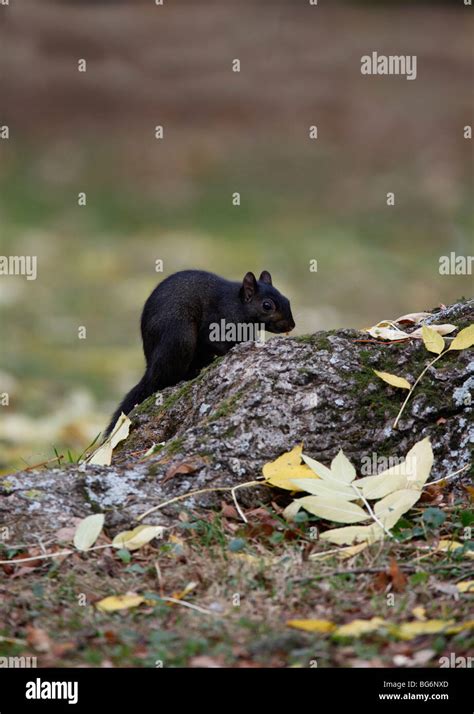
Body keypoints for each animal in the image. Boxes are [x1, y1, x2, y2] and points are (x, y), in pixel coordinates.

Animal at [105, 268, 294, 432]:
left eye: (287, 299)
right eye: (267, 305)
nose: (292, 325)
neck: (237, 304)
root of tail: (150, 368)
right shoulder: (217, 322)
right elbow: (214, 341)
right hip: (180, 338)